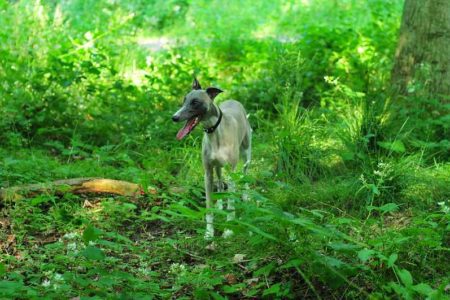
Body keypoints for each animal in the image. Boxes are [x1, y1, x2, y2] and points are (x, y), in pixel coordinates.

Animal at [172, 78, 251, 239]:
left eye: (195, 102)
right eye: (184, 100)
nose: (174, 117)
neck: (215, 133)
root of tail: (234, 101)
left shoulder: (232, 173)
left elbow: (231, 203)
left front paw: (228, 229)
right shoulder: (208, 173)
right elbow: (208, 205)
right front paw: (209, 232)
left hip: (246, 154)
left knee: (245, 174)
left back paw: (246, 196)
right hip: (218, 167)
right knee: (220, 184)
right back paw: (220, 203)